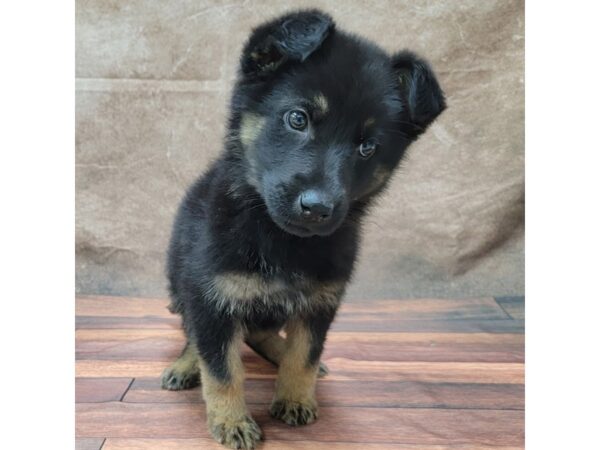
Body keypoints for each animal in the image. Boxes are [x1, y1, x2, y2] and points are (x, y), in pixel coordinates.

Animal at [162, 8, 442, 448]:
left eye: (368, 146)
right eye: (298, 118)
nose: (317, 208)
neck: (282, 239)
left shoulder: (319, 304)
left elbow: (304, 355)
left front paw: (295, 396)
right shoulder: (212, 298)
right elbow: (221, 369)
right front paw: (231, 421)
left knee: (261, 336)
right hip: (181, 282)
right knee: (195, 334)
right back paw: (186, 365)